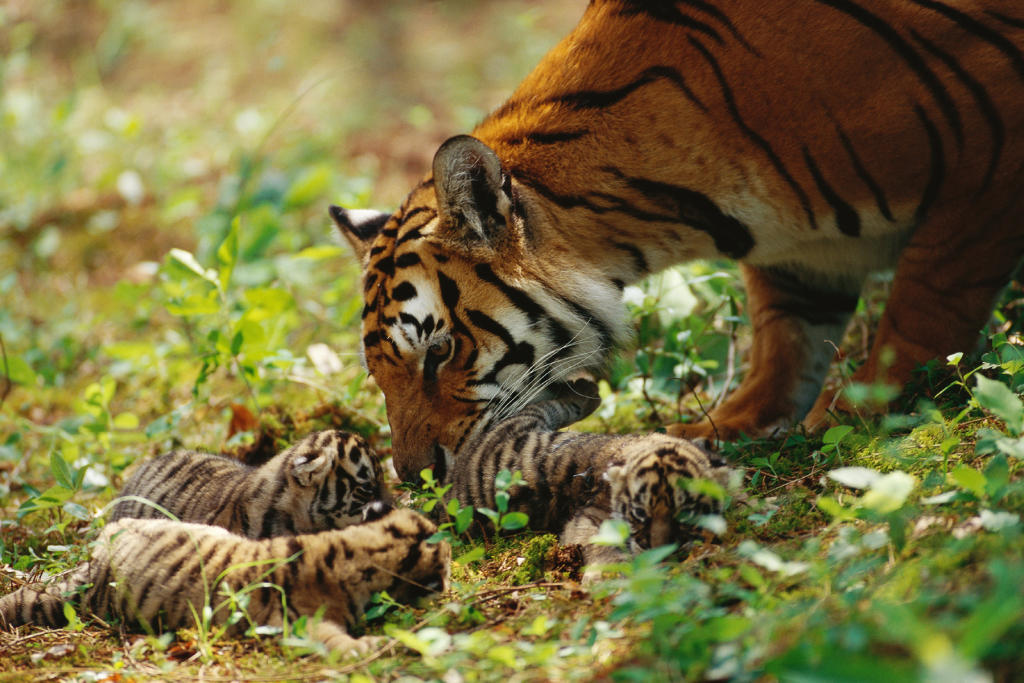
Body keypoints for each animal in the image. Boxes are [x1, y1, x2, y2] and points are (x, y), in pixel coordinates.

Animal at [329, 0, 1024, 479]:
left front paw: (857, 414)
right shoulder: (801, 260)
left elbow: (922, 310)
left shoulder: (987, 165)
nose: (416, 478)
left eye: (440, 352)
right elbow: (785, 343)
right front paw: (725, 426)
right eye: (379, 373)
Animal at [450, 378, 729, 568]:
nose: (659, 551)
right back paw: (587, 389)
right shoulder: (590, 517)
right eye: (640, 513)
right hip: (523, 423)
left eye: (685, 513)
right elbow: (602, 547)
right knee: (546, 406)